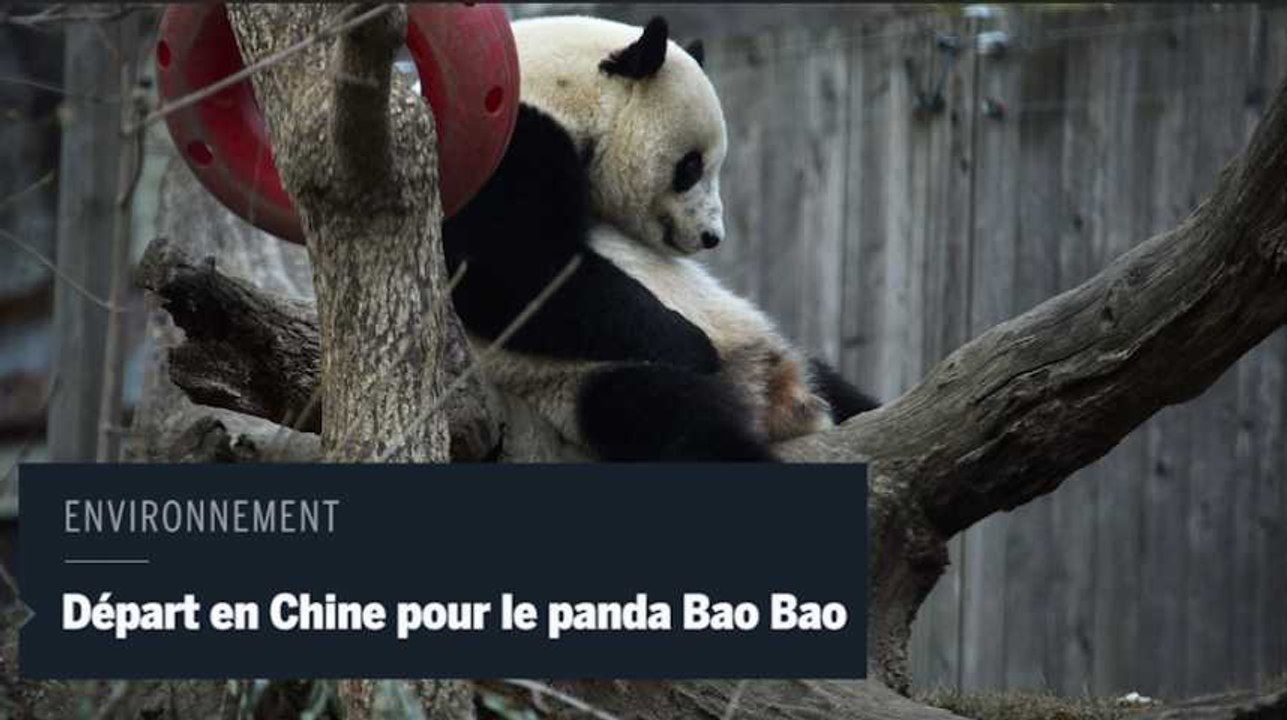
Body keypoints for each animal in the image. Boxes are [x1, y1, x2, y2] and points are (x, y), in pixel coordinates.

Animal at [442, 15, 878, 461]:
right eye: (691, 166)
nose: (711, 236)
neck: (560, 88)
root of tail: (771, 398)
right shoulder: (504, 143)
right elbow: (511, 268)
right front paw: (696, 347)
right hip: (582, 384)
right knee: (689, 425)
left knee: (841, 390)